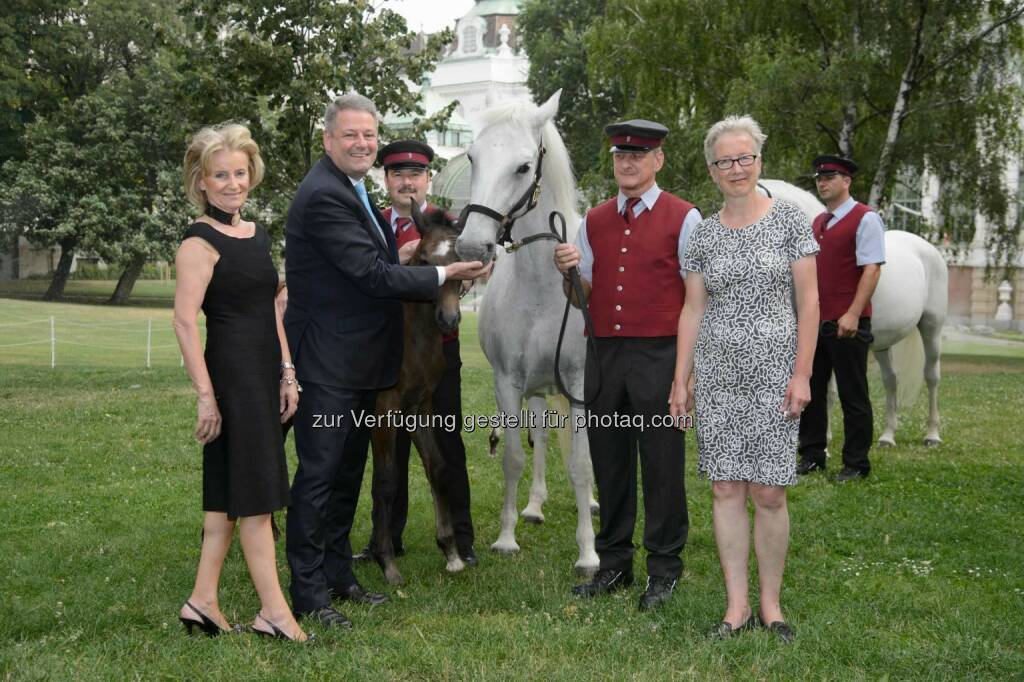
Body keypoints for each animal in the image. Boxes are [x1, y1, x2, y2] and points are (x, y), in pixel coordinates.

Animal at [454, 91, 598, 573]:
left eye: (522, 166)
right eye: (472, 157)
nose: (471, 246)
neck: (541, 285)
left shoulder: (579, 384)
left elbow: (581, 464)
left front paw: (589, 552)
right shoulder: (509, 382)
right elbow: (515, 457)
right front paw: (506, 537)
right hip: (537, 389)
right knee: (541, 438)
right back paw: (534, 506)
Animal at [757, 178, 946, 444]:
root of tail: (928, 248)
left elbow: (827, 392)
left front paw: (823, 440)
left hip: (932, 328)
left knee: (932, 376)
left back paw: (932, 434)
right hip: (881, 343)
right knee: (891, 380)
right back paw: (887, 436)